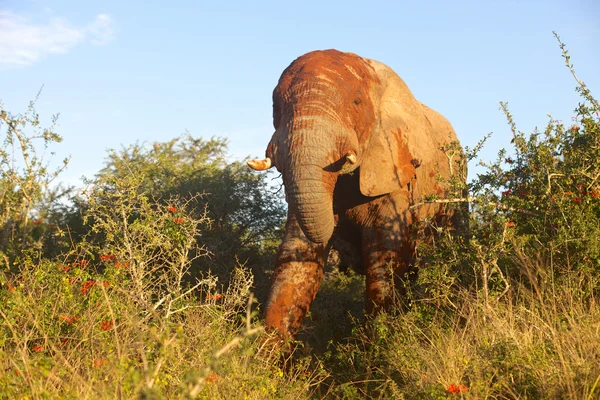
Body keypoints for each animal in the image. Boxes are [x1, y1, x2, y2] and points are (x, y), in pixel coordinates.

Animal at [248, 47, 464, 340]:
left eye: (357, 102)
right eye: (276, 108)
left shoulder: (393, 169)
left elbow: (384, 256)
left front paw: (378, 345)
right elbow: (297, 254)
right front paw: (263, 352)